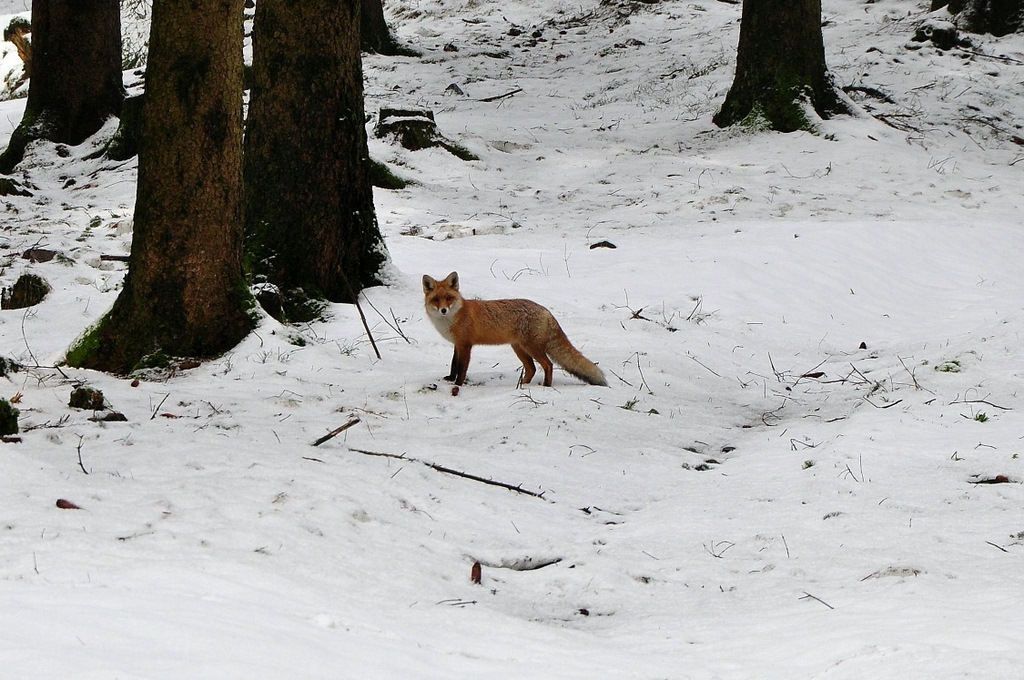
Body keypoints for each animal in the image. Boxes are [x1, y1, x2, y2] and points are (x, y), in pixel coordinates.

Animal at [419, 270, 602, 387]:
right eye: (436, 300)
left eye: (449, 298)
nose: (443, 310)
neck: (453, 318)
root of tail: (546, 310)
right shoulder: (457, 344)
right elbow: (453, 364)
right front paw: (450, 379)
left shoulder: (466, 345)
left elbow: (462, 368)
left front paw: (457, 385)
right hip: (519, 348)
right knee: (532, 369)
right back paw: (522, 386)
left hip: (531, 348)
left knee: (548, 365)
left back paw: (546, 386)